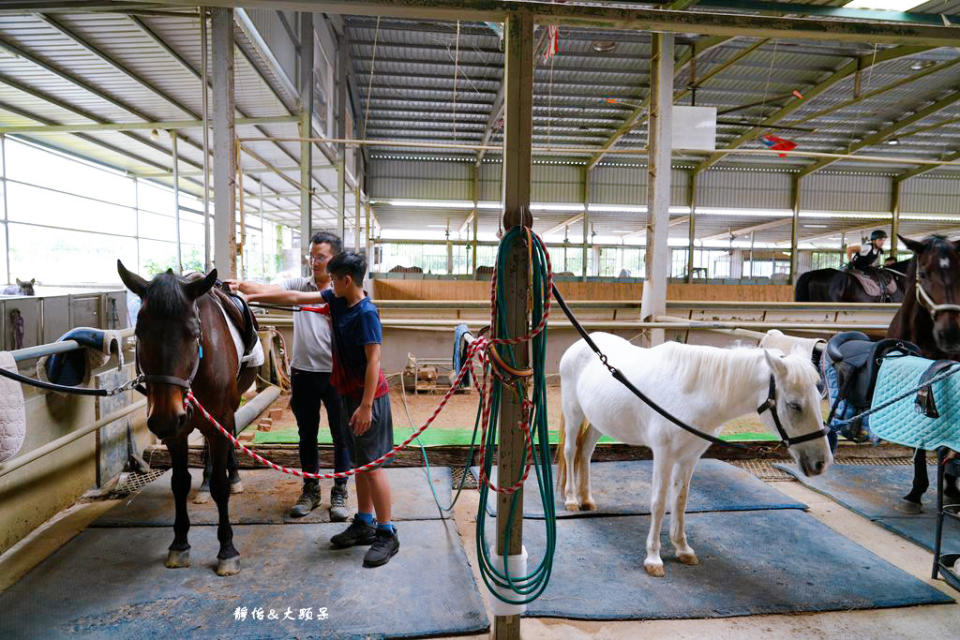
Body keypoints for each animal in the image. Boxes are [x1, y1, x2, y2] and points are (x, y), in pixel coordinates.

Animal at [117, 260, 256, 576]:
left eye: (193, 332)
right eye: (139, 332)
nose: (165, 419)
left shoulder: (219, 417)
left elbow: (220, 485)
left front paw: (227, 550)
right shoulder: (177, 431)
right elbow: (179, 482)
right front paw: (179, 544)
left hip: (228, 407)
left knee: (229, 437)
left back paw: (234, 476)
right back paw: (203, 485)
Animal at [560, 332, 828, 576]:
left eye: (818, 398)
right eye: (794, 405)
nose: (821, 463)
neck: (692, 394)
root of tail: (580, 343)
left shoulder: (689, 457)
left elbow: (680, 500)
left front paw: (683, 549)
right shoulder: (664, 455)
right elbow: (659, 503)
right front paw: (653, 559)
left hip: (599, 420)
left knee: (586, 451)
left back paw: (587, 500)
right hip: (574, 412)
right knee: (571, 451)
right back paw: (572, 499)